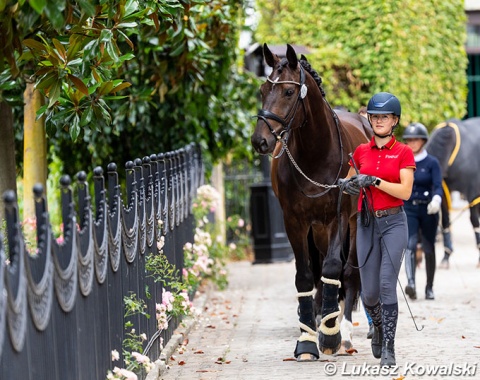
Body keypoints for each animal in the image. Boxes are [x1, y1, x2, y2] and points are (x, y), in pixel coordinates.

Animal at [249, 43, 374, 360]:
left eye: (288, 92)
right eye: (262, 89)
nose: (260, 141)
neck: (316, 154)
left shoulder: (337, 218)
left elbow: (333, 269)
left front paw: (330, 336)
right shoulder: (295, 222)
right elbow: (305, 276)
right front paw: (307, 339)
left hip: (353, 224)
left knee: (348, 274)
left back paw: (344, 332)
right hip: (315, 230)